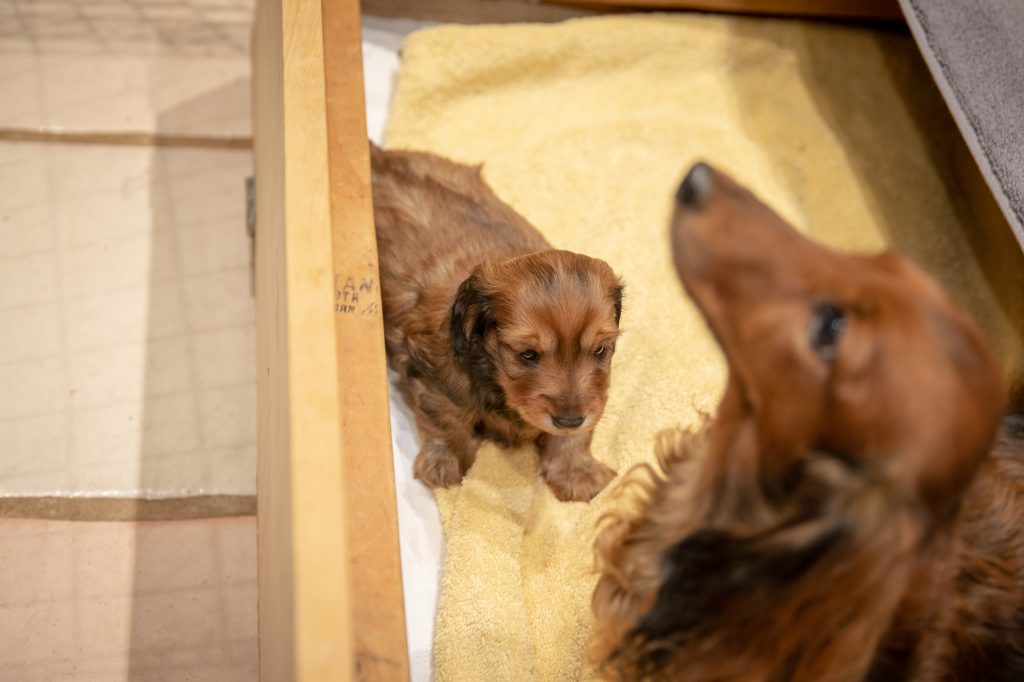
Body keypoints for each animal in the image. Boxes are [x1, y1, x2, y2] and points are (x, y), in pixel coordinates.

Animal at [370, 143, 618, 501]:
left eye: (600, 350)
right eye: (527, 355)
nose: (569, 419)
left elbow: (577, 432)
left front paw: (577, 471)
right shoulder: (436, 375)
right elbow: (447, 418)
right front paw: (446, 462)